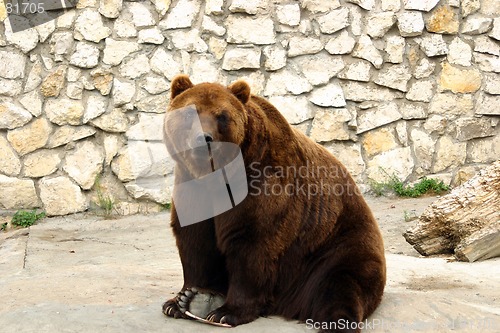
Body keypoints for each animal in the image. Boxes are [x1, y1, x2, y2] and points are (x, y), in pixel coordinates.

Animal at [162, 75, 384, 332]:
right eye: (191, 113)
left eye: (221, 116)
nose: (203, 139)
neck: (215, 175)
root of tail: (289, 303)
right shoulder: (192, 186)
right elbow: (196, 240)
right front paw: (182, 299)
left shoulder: (262, 183)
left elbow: (252, 243)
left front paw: (226, 312)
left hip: (335, 246)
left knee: (342, 284)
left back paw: (337, 322)